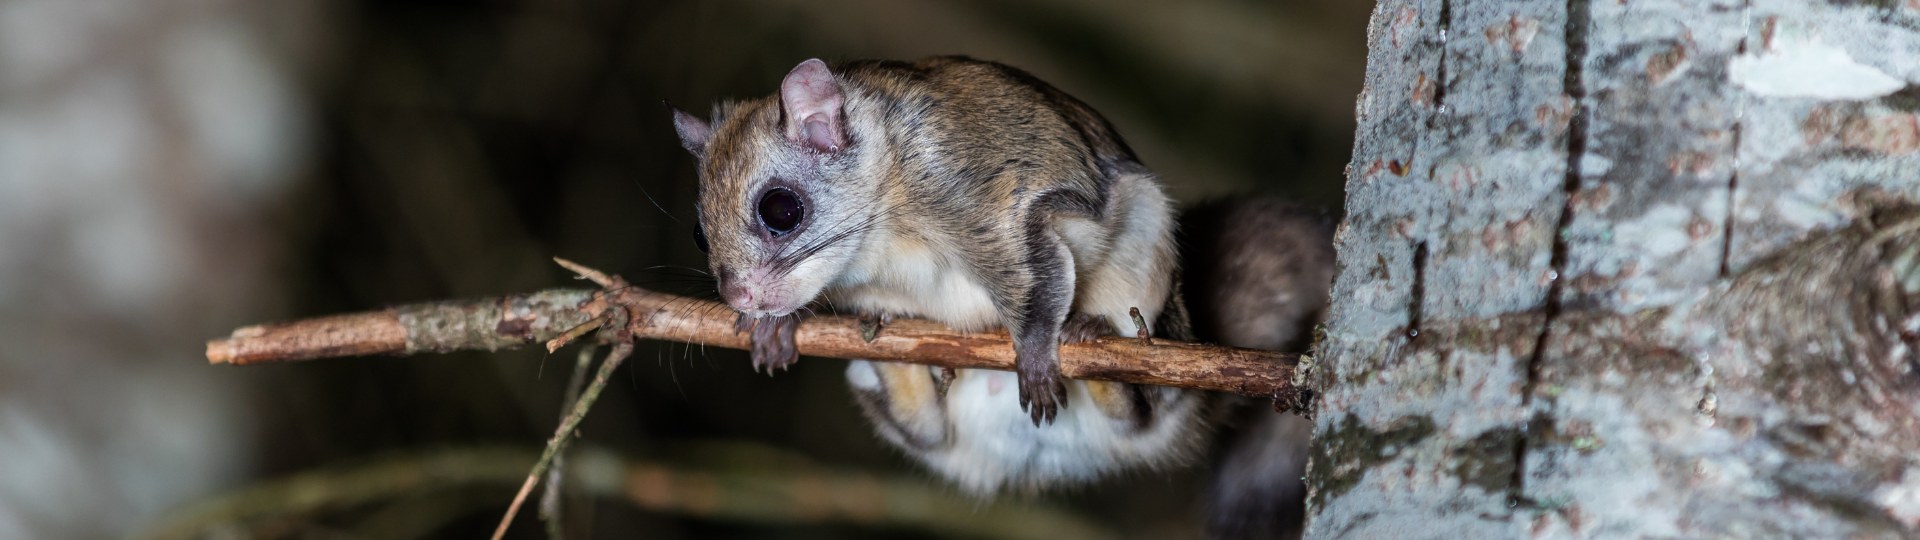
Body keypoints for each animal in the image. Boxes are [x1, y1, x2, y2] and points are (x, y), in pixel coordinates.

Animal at [670, 56, 1333, 534]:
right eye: (699, 231)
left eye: (781, 210)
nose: (741, 298)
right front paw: (775, 328)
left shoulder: (986, 204)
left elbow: (1034, 277)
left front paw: (1036, 352)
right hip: (928, 429)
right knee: (925, 430)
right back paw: (896, 368)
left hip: (1151, 289)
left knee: (1144, 410)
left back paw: (1097, 349)